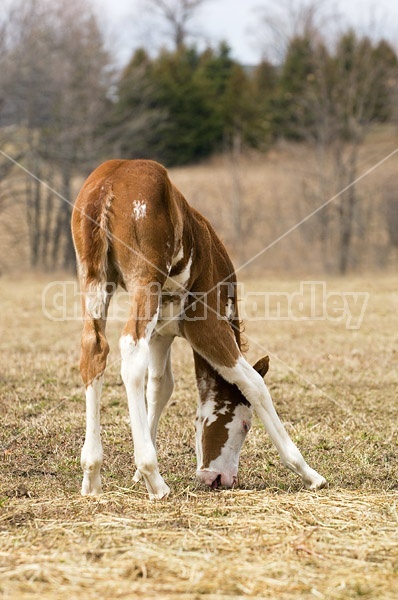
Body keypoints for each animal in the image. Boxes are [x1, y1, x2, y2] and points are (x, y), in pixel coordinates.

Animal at [71, 158, 326, 496]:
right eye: (245, 425)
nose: (221, 480)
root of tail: (107, 184)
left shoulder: (162, 332)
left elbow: (160, 387)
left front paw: (136, 474)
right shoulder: (205, 325)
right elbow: (253, 383)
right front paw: (308, 473)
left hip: (94, 279)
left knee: (95, 350)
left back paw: (92, 475)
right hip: (144, 281)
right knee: (130, 351)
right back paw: (154, 478)